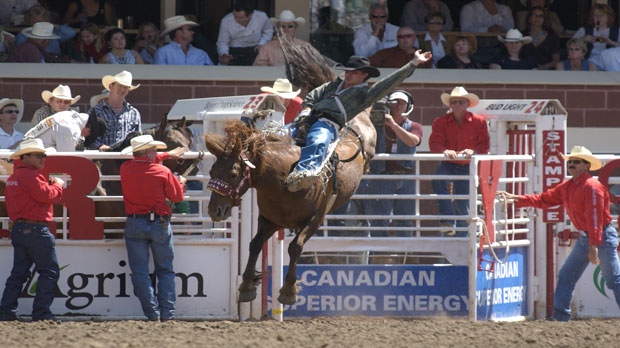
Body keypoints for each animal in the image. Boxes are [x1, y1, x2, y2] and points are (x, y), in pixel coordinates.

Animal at [206, 113, 376, 302]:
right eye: (212, 172)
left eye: (233, 174)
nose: (214, 210)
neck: (283, 179)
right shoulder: (270, 220)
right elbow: (255, 244)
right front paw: (247, 285)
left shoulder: (315, 220)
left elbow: (295, 247)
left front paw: (288, 290)